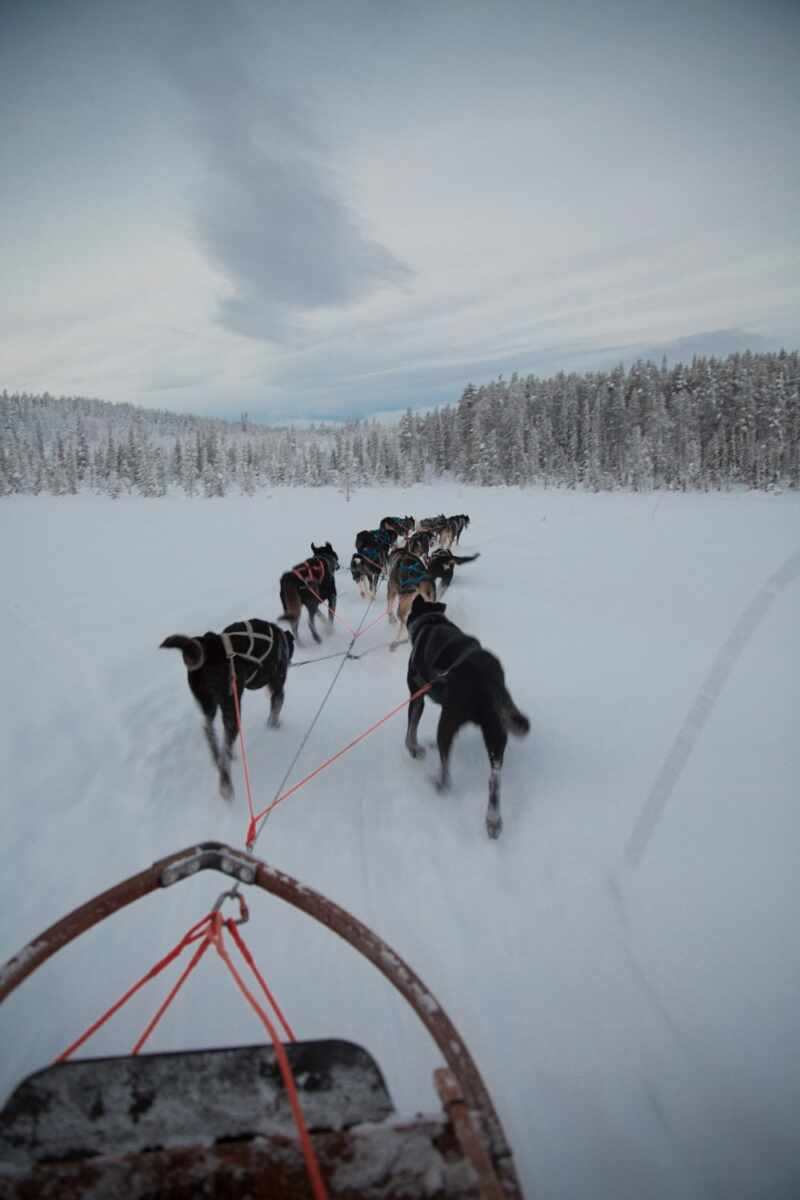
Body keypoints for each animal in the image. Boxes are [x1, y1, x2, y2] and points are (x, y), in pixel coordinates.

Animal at [160, 619, 296, 796]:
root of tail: (208, 645)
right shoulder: (278, 688)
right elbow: (275, 710)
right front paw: (274, 725)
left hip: (209, 705)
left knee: (210, 731)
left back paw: (218, 757)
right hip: (232, 707)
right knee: (226, 743)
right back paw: (226, 782)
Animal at [402, 595, 527, 840]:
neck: (430, 621)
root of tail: (489, 679)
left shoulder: (417, 695)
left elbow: (411, 728)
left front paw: (413, 748)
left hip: (447, 722)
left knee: (446, 768)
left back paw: (439, 783)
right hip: (496, 732)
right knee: (494, 781)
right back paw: (493, 820)